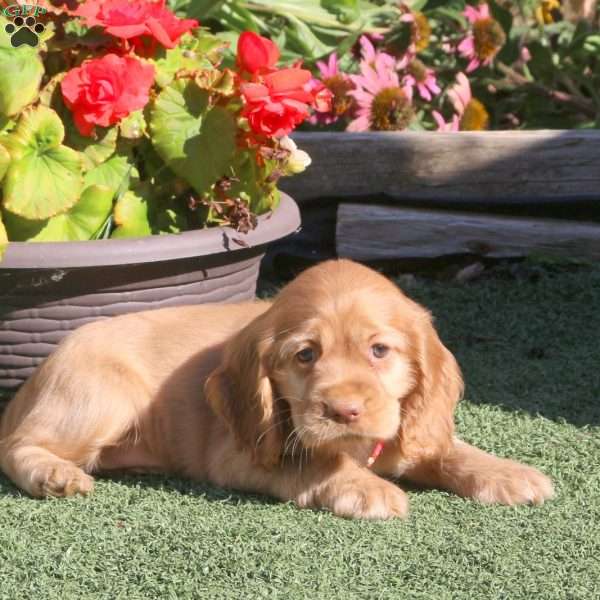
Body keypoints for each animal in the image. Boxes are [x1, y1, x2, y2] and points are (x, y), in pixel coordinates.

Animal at [0, 260, 552, 516]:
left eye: (380, 351)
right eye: (305, 355)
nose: (344, 411)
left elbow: (449, 446)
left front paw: (507, 473)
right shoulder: (236, 453)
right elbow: (315, 463)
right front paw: (366, 488)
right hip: (104, 396)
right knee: (16, 446)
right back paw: (54, 474)